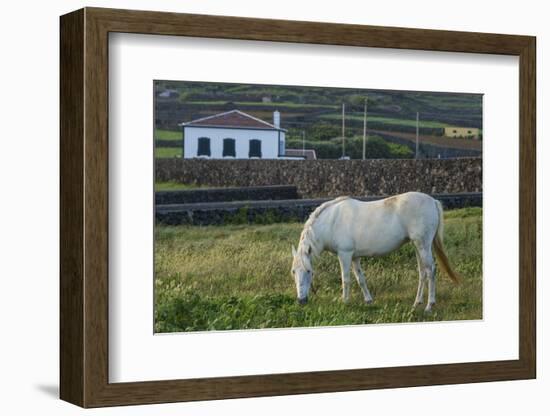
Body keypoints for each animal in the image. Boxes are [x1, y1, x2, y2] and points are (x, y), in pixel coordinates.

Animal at [294, 192, 462, 312]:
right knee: (423, 273)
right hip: (418, 247)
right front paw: (368, 300)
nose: (301, 300)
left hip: (423, 245)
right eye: (293, 272)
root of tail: (433, 201)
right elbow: (360, 279)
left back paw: (429, 305)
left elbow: (346, 279)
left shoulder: (345, 255)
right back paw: (417, 303)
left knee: (430, 271)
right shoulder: (354, 257)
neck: (331, 222)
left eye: (309, 271)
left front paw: (345, 302)